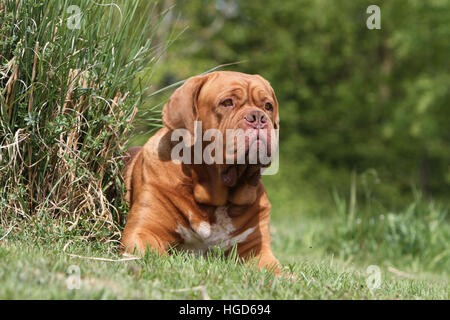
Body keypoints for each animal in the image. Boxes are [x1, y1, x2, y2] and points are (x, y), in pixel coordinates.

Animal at [119, 71, 282, 274]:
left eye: (268, 106)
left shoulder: (256, 249)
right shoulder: (144, 231)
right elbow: (156, 256)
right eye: (227, 102)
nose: (258, 117)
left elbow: (275, 270)